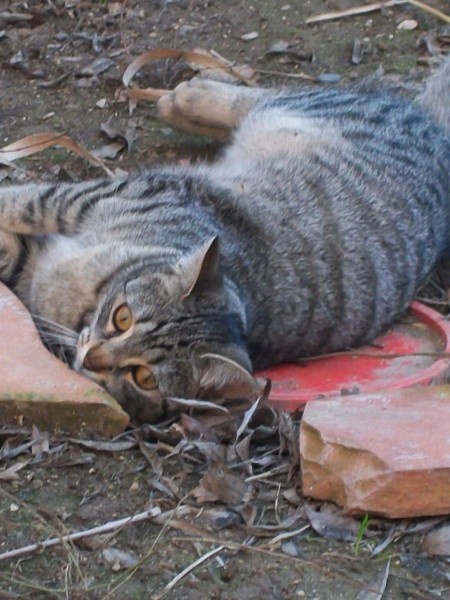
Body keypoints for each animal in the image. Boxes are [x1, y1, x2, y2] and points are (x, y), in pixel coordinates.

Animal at [0, 57, 450, 422]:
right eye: (123, 317)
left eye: (144, 377)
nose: (91, 356)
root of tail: (438, 136)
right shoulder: (99, 199)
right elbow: (24, 202)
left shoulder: (42, 258)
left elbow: (19, 225)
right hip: (297, 110)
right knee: (270, 93)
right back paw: (191, 94)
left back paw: (187, 97)